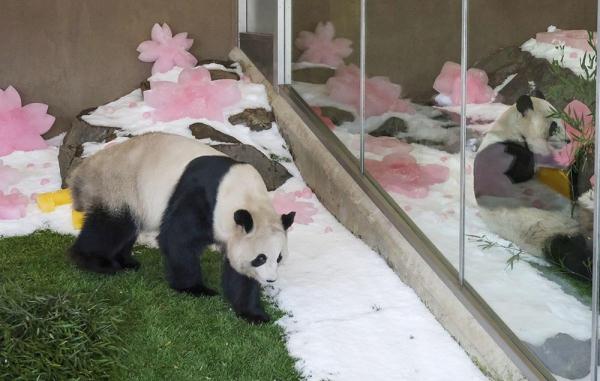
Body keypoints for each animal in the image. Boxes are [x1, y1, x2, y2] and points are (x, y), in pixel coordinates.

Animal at [67, 132, 296, 322]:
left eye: (279, 258)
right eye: (260, 258)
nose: (270, 279)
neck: (245, 196)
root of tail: (83, 169)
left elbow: (239, 272)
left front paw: (254, 314)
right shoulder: (202, 197)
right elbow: (178, 239)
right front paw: (196, 289)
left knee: (127, 229)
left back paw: (126, 261)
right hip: (120, 186)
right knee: (111, 226)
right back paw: (96, 262)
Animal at [474, 94, 596, 280]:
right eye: (554, 125)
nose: (567, 140)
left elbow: (569, 185)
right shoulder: (495, 152)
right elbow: (514, 171)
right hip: (548, 233)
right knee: (573, 256)